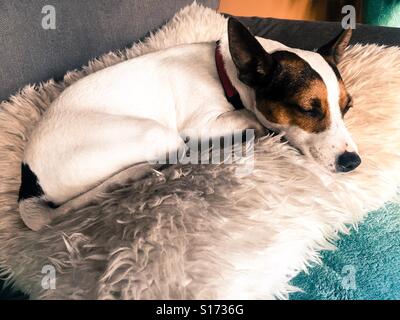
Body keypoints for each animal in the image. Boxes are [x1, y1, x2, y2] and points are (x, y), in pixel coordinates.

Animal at [18, 18, 360, 230]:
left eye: (347, 107)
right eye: (308, 109)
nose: (352, 162)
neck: (226, 75)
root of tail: (28, 183)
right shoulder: (203, 125)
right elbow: (254, 120)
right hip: (157, 134)